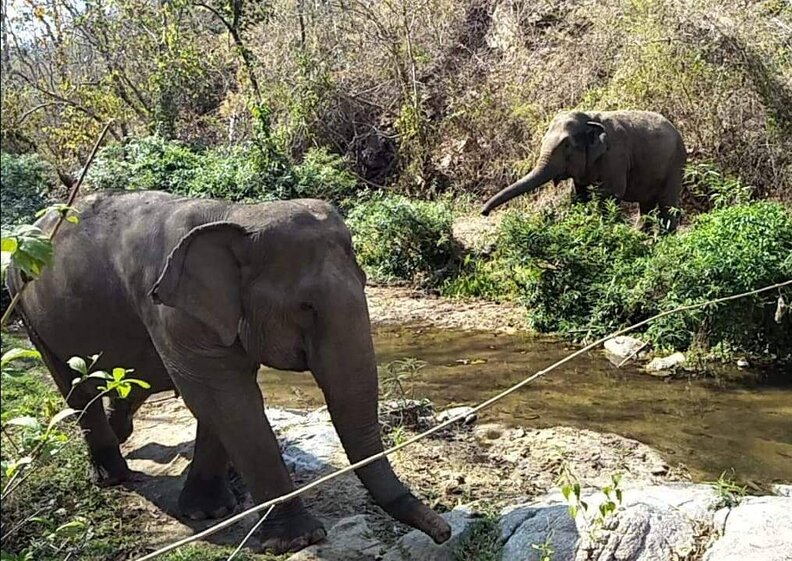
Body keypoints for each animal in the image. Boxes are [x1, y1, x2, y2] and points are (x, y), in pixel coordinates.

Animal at [6, 190, 451, 553]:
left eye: (363, 282)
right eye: (306, 307)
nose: (444, 531)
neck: (234, 215)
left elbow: (219, 402)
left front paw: (210, 512)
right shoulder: (172, 314)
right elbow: (226, 399)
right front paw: (298, 540)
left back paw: (123, 436)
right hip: (26, 309)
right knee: (73, 384)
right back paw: (112, 477)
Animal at [481, 110, 687, 231]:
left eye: (566, 145)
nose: (484, 213)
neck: (590, 118)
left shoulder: (615, 157)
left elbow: (610, 194)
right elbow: (579, 195)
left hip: (676, 165)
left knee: (667, 204)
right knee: (646, 205)